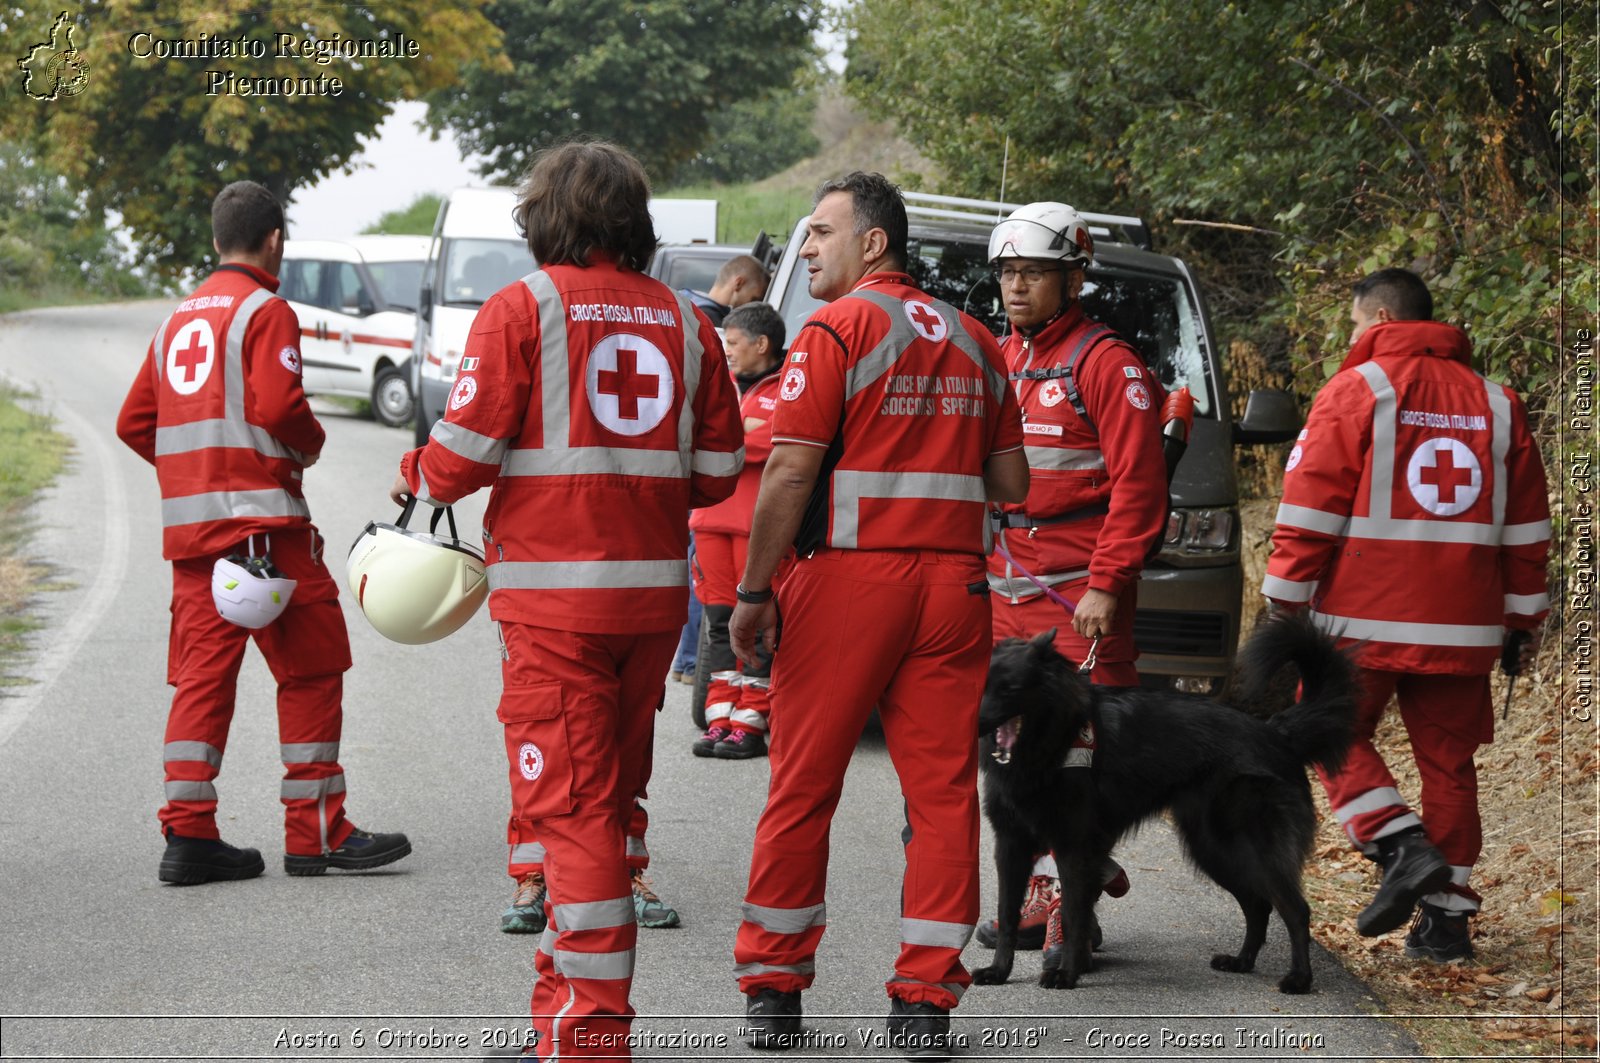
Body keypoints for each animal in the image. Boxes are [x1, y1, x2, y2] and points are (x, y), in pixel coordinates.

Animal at [972, 614, 1350, 998]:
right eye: (981, 685)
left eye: (1010, 689)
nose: (973, 724)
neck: (1049, 743)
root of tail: (1276, 732)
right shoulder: (1011, 846)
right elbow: (1007, 914)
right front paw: (999, 971)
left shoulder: (1074, 849)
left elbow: (1073, 915)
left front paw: (1067, 973)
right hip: (1214, 850)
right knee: (1258, 905)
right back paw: (1242, 961)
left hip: (1248, 848)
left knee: (1295, 910)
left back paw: (1299, 978)